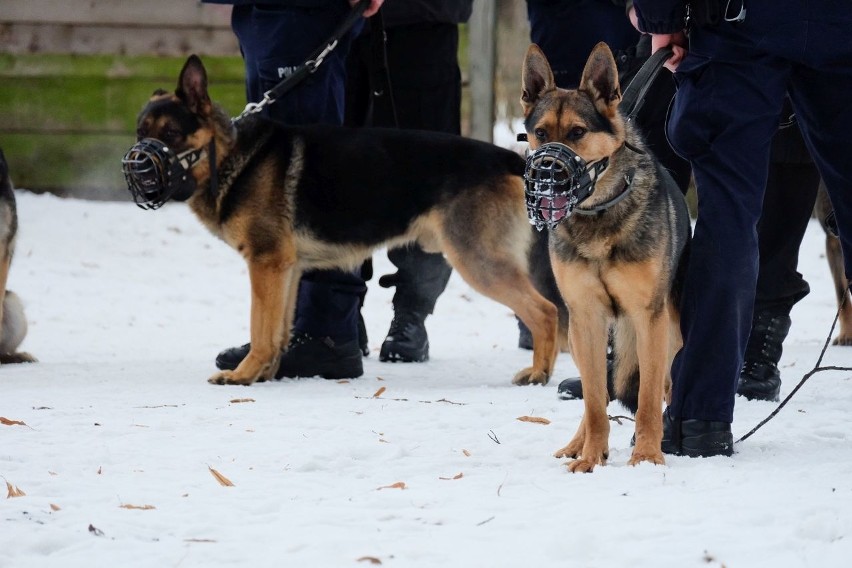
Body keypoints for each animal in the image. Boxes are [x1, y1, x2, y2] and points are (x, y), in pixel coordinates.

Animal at [123, 54, 564, 386]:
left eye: (172, 133)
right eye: (140, 132)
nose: (137, 168)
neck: (231, 156)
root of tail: (508, 158)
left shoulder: (264, 266)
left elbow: (260, 329)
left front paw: (243, 375)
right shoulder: (285, 270)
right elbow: (277, 330)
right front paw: (266, 373)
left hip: (478, 262)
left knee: (546, 312)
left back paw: (539, 374)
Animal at [520, 43, 692, 470]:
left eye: (578, 133)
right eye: (540, 133)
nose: (545, 174)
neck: (597, 211)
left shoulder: (649, 319)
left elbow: (647, 397)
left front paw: (647, 455)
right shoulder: (587, 316)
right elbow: (597, 401)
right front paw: (591, 456)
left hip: (672, 332)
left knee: (665, 384)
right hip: (582, 335)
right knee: (594, 391)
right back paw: (578, 444)